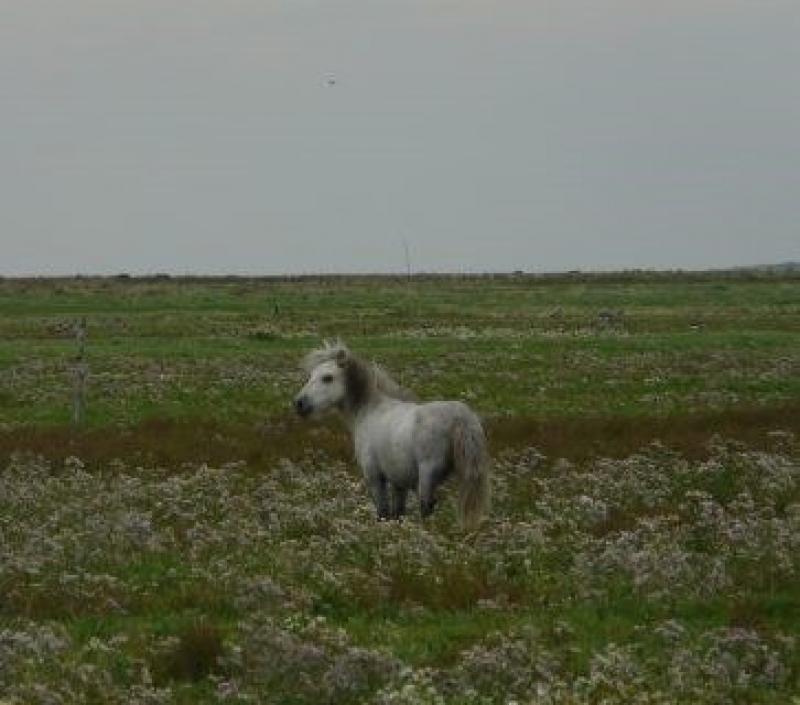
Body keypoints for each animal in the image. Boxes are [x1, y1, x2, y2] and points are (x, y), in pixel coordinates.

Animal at [293, 341, 490, 528]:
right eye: (310, 376)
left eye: (327, 378)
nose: (299, 404)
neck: (369, 411)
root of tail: (461, 416)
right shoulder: (398, 482)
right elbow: (398, 513)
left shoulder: (374, 477)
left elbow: (383, 512)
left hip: (427, 475)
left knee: (426, 507)